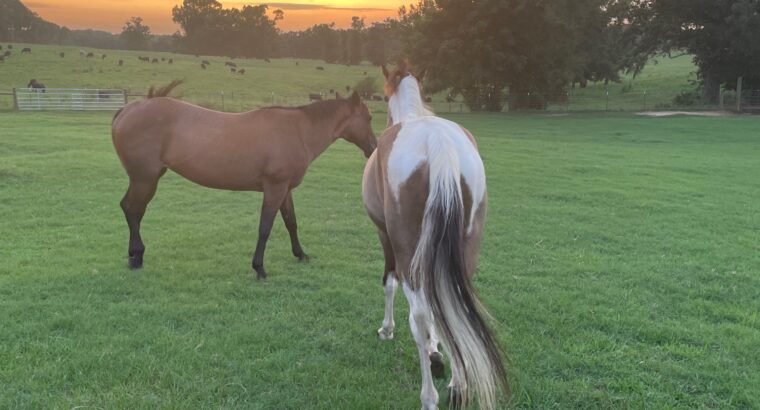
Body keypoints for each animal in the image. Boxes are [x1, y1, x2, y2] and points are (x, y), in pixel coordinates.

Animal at [111, 80, 376, 278]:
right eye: (369, 118)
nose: (373, 148)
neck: (298, 131)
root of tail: (128, 110)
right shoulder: (274, 188)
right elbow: (265, 227)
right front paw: (259, 267)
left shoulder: (285, 189)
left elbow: (291, 222)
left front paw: (301, 254)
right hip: (144, 178)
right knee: (131, 209)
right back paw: (137, 255)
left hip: (146, 179)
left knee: (133, 210)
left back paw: (134, 256)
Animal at [360, 62, 508, 408]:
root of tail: (439, 144)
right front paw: (438, 352)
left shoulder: (385, 236)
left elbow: (390, 284)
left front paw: (388, 330)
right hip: (464, 249)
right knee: (454, 306)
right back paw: (457, 383)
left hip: (407, 251)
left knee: (420, 316)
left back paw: (430, 395)